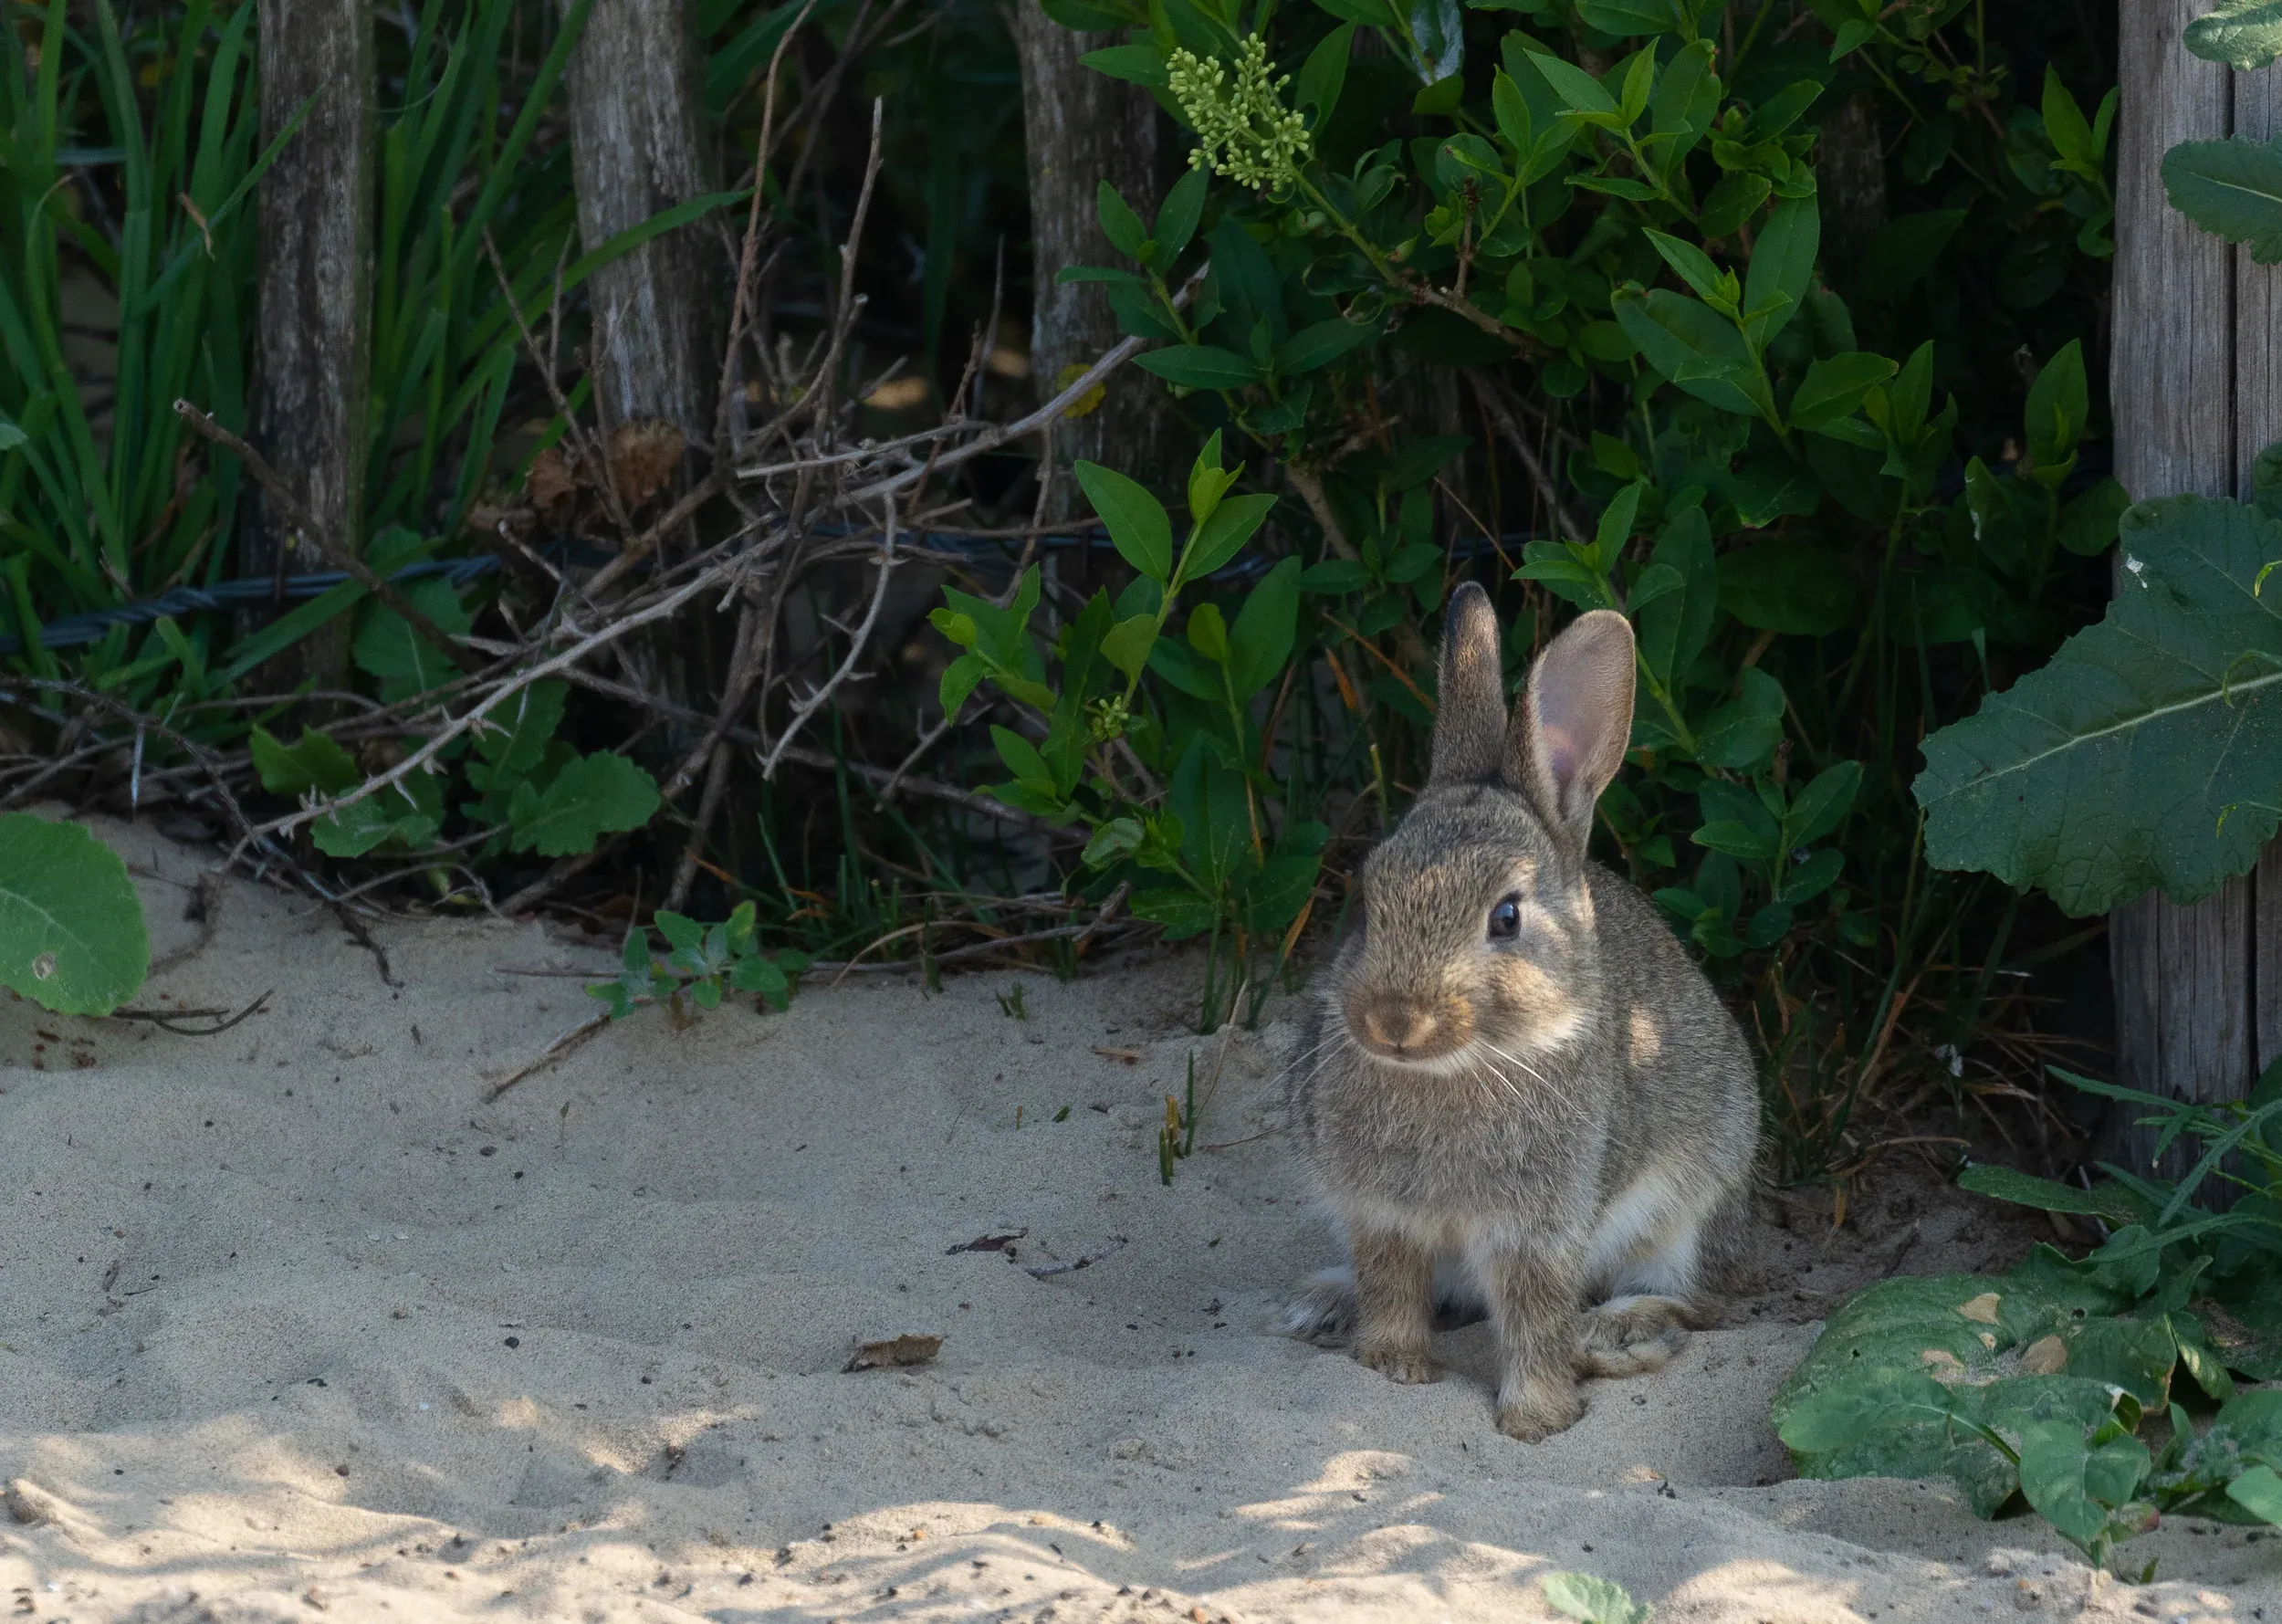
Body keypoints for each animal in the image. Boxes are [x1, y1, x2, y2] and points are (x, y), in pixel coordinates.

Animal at [1284, 582, 1760, 1442]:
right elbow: (1394, 1288)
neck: (1457, 1067)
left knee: (1694, 1298)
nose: (1392, 1020)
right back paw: (1326, 1302)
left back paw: (1612, 1335)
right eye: (1370, 896)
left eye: (1506, 917)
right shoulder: (1379, 1216)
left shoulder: (1536, 1231)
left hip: (1696, 1197)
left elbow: (1534, 1316)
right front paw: (1392, 1367)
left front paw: (1537, 1419)